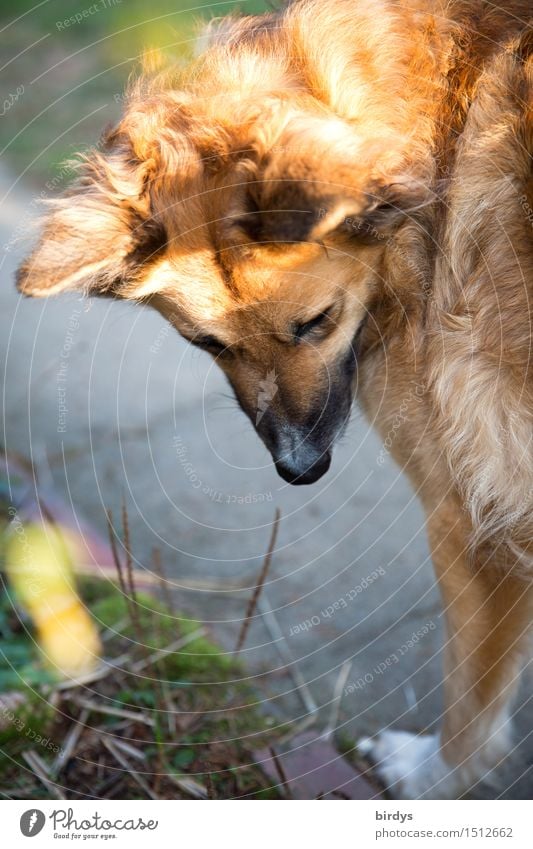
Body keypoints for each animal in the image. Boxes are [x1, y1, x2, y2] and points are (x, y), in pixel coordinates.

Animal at [15, 0, 532, 796]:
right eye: (207, 344)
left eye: (316, 323)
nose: (298, 470)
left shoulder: (474, 523)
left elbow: (470, 706)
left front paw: (430, 778)